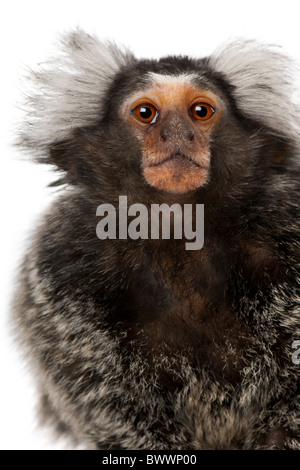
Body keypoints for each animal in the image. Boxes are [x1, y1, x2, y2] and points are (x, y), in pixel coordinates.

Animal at [14, 31, 300, 450]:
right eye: (146, 113)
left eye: (201, 111)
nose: (178, 135)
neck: (177, 232)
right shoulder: (62, 272)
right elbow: (116, 409)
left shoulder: (287, 238)